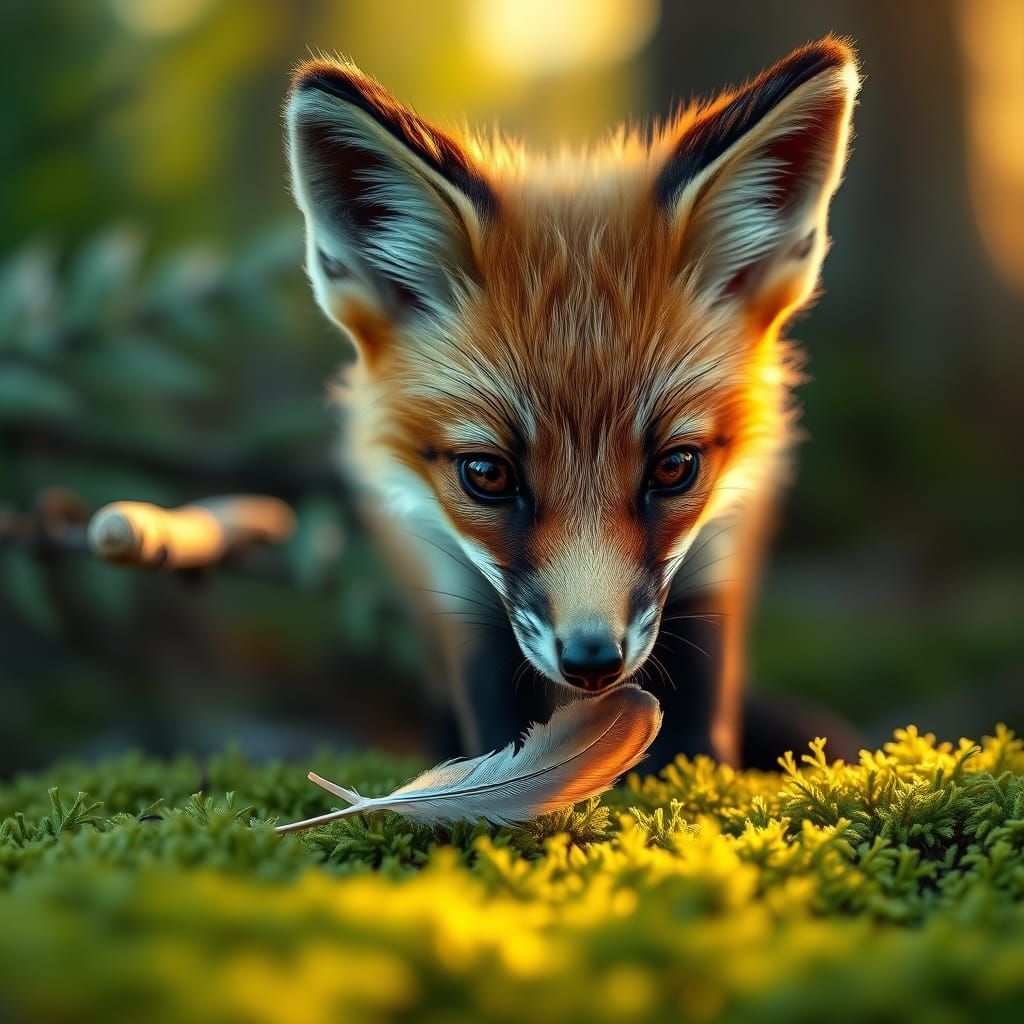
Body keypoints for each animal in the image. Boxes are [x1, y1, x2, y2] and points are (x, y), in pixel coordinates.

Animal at [284, 37, 861, 769]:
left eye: (676, 467)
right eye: (486, 474)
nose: (592, 661)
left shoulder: (726, 535)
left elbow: (704, 689)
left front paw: (693, 781)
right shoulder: (438, 561)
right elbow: (488, 695)